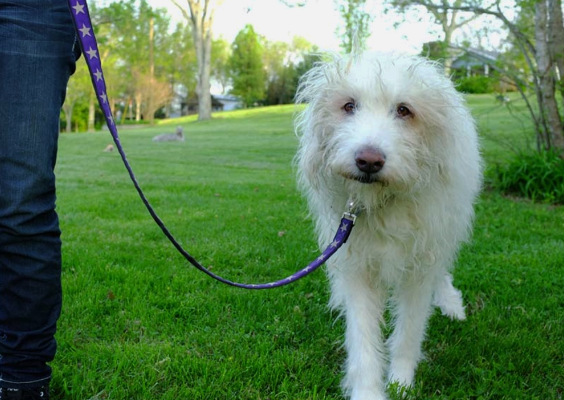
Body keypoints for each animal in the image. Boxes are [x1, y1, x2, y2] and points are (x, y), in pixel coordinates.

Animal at [294, 50, 482, 400]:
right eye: (349, 106)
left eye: (404, 110)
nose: (368, 160)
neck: (383, 200)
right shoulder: (357, 266)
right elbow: (363, 340)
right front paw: (368, 391)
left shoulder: (420, 265)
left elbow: (409, 332)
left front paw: (401, 382)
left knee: (442, 273)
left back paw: (451, 303)